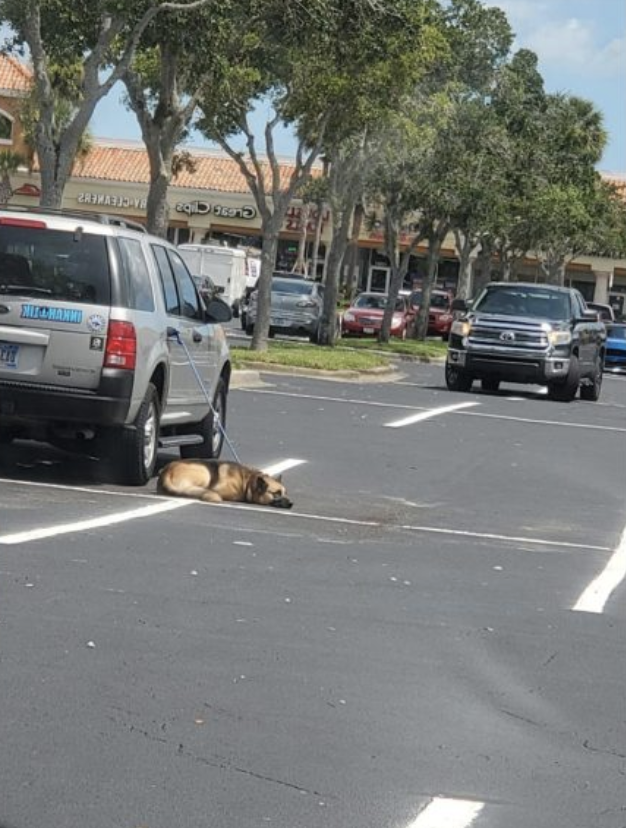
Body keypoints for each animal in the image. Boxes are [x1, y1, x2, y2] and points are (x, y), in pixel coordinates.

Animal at [156, 456, 292, 508]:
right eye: (276, 493)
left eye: (286, 493)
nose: (292, 503)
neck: (247, 482)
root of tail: (165, 473)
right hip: (204, 472)